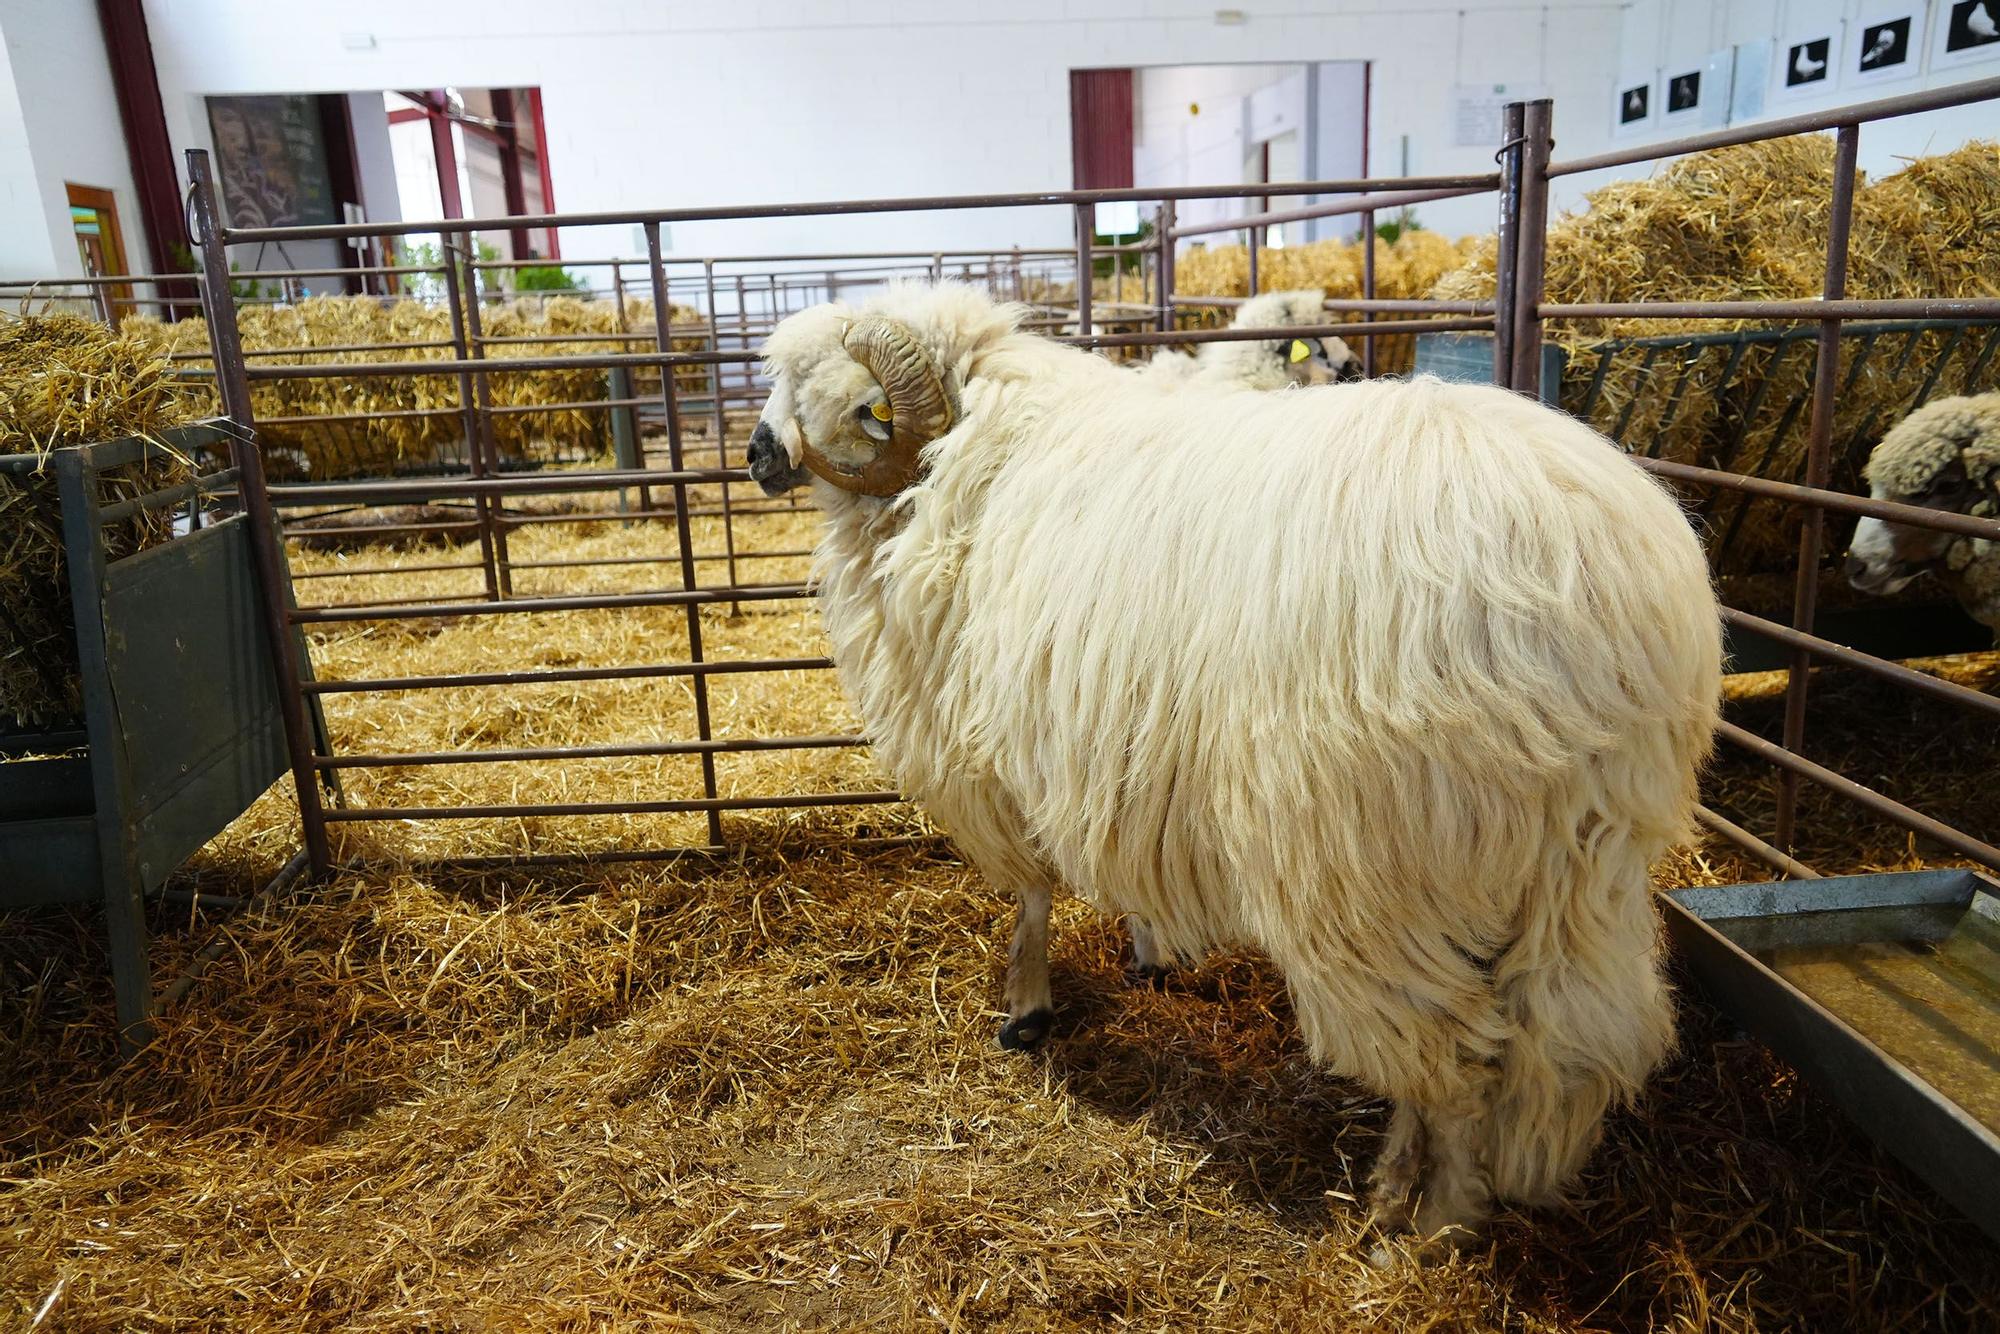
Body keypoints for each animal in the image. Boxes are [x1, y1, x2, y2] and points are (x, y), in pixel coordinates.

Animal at [748, 280, 1720, 1256]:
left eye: (841, 399)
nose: (756, 457)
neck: (967, 458)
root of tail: (1580, 578)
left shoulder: (996, 751)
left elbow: (1032, 893)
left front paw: (1026, 1009)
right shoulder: (1112, 744)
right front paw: (1146, 951)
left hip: (1369, 866)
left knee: (1452, 1061)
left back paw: (1423, 1221)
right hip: (1582, 859)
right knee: (1545, 1039)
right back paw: (1420, 1193)